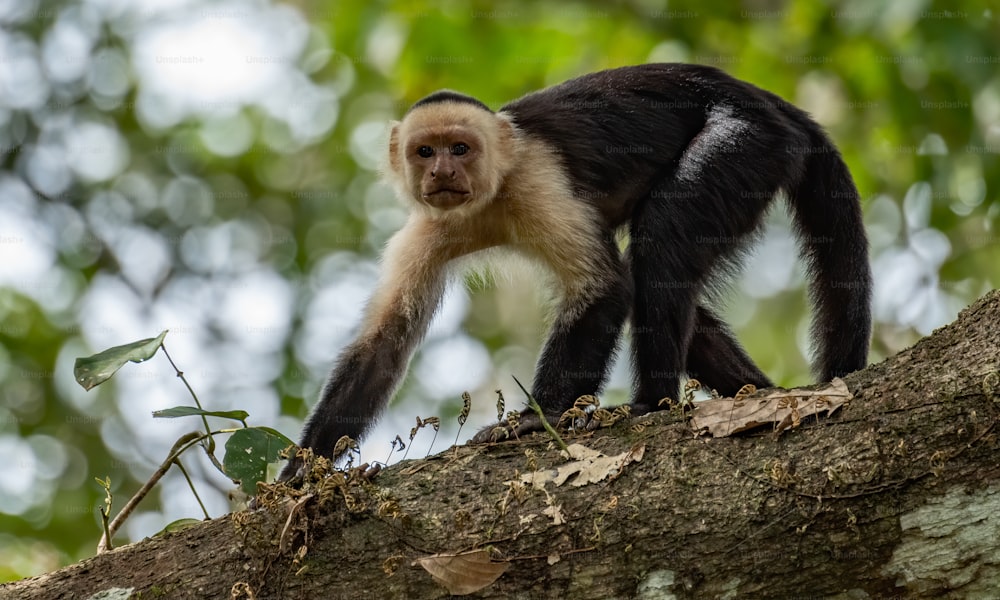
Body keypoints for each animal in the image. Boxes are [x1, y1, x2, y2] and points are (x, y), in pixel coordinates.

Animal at [278, 63, 872, 480]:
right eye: (426, 152)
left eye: (460, 148)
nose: (443, 172)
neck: (489, 201)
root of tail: (769, 102)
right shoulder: (427, 227)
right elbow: (384, 342)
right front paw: (299, 475)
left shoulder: (537, 177)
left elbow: (604, 288)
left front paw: (532, 420)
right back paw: (754, 393)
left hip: (747, 141)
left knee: (661, 243)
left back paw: (650, 404)